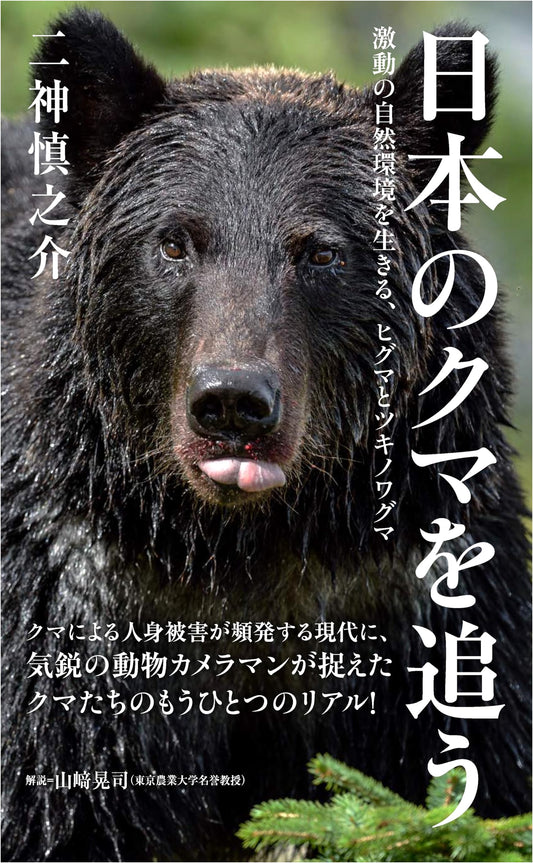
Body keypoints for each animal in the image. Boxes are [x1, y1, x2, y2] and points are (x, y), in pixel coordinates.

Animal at [1, 9, 530, 862]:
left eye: (319, 250)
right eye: (174, 240)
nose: (232, 404)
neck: (248, 544)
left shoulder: (407, 594)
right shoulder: (85, 602)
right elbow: (65, 802)